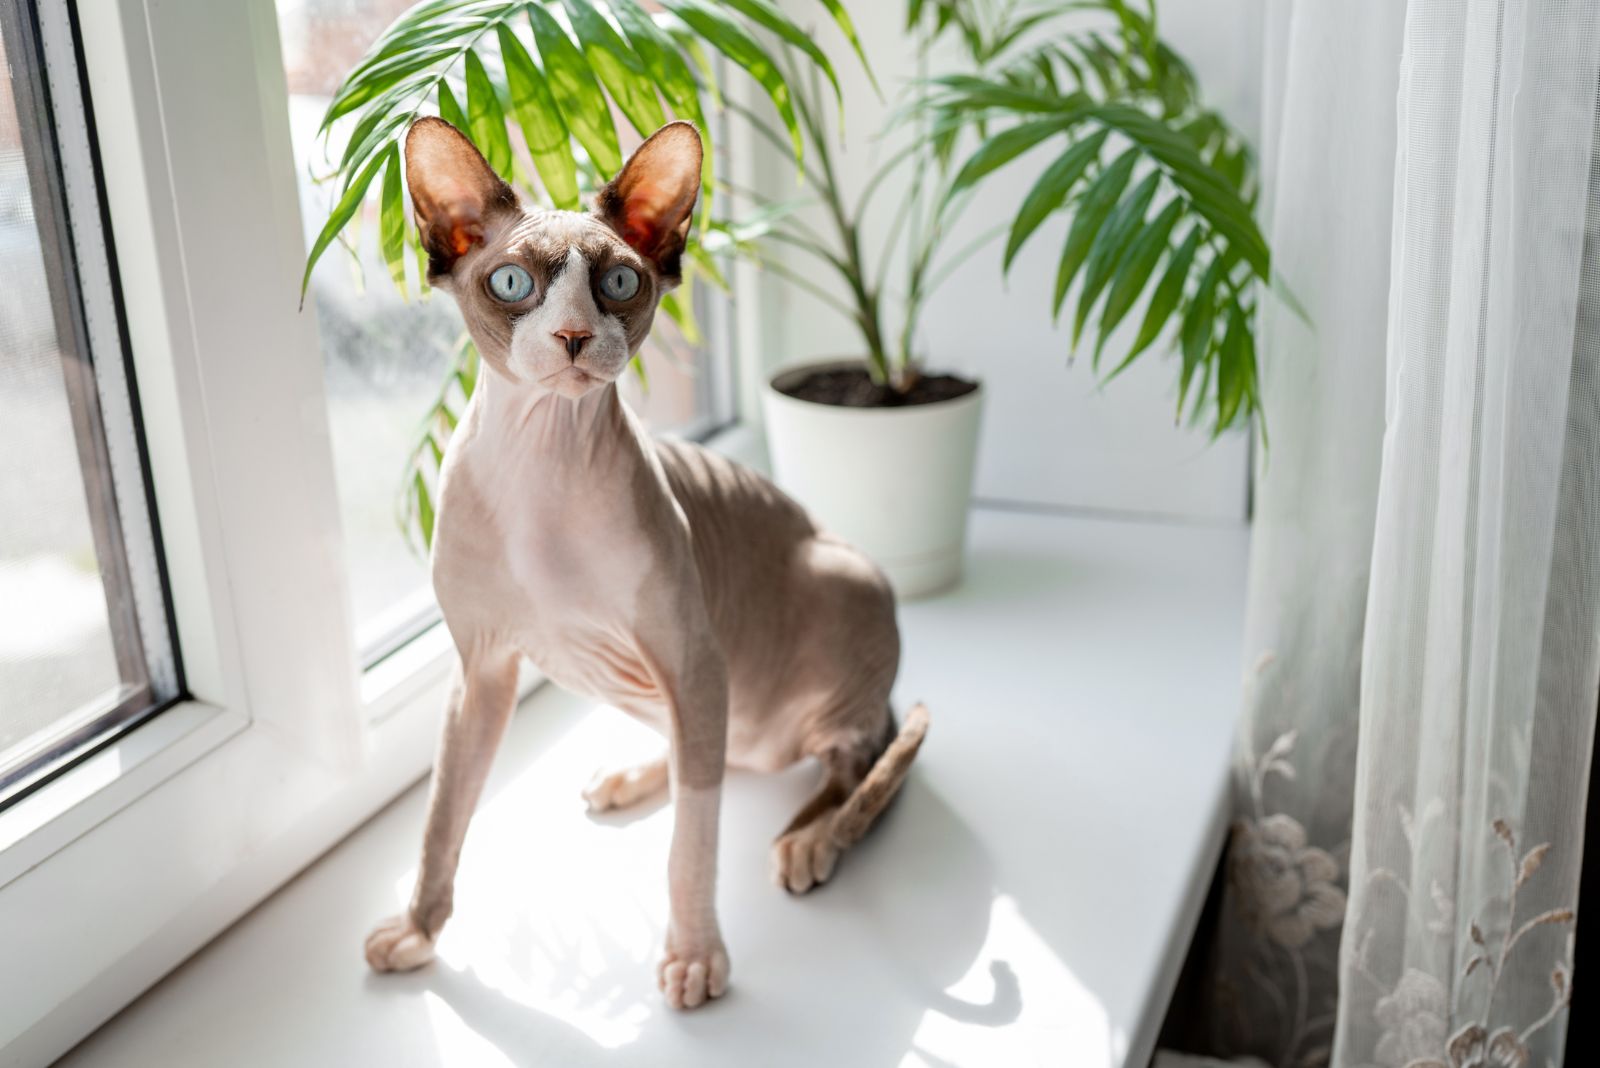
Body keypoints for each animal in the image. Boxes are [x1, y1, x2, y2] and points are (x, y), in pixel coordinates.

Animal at [364, 119, 934, 1010]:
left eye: (621, 280)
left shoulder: (692, 657)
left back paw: (812, 838)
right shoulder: (480, 670)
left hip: (840, 580)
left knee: (859, 757)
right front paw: (419, 930)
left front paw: (696, 954)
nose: (571, 336)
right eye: (513, 281)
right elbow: (441, 816)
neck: (543, 467)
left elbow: (692, 840)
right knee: (720, 749)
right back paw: (637, 774)